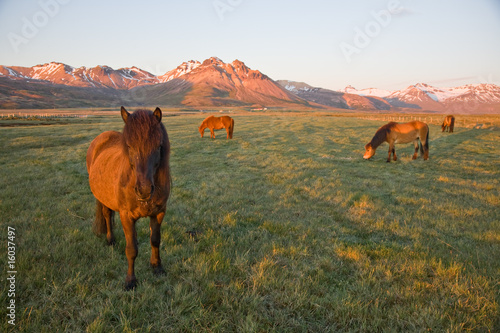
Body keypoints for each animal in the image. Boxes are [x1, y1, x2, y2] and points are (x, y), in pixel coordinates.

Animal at [87, 105, 171, 288]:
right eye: (130, 146)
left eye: (158, 146)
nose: (144, 190)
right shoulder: (126, 216)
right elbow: (131, 249)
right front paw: (130, 281)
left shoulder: (159, 213)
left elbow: (155, 240)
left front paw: (157, 267)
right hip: (103, 199)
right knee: (107, 215)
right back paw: (110, 240)